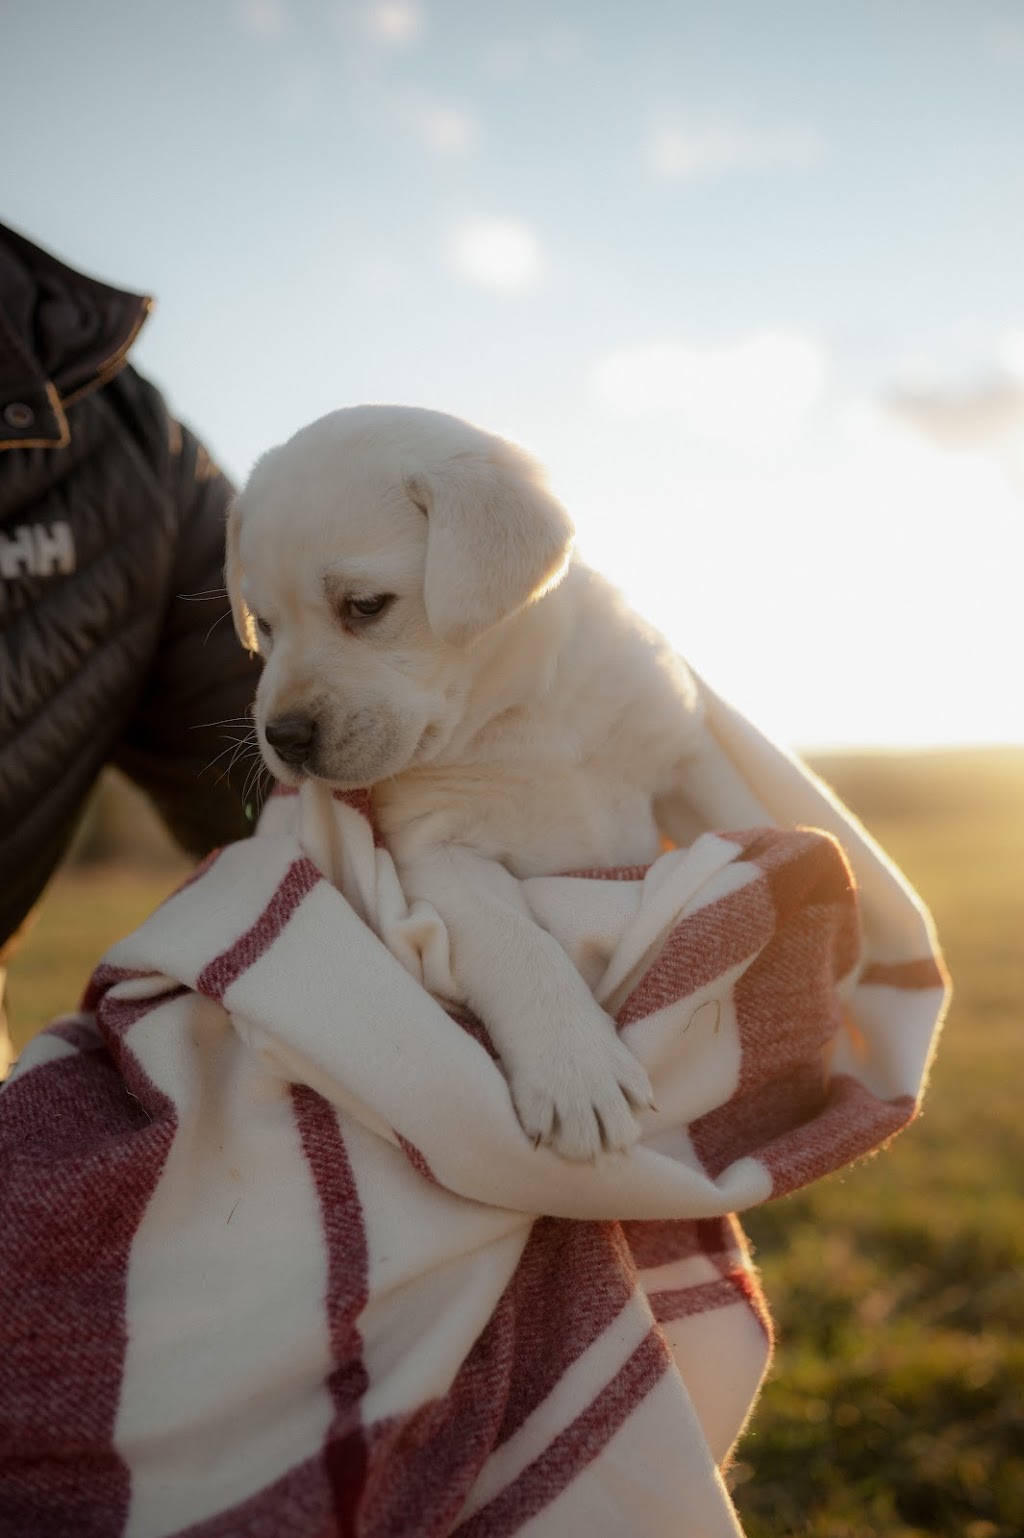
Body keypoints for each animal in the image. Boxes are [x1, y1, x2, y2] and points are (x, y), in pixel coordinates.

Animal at [226, 402, 750, 1156]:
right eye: (264, 626)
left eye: (366, 605)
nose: (285, 736)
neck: (518, 707)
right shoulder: (437, 855)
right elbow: (519, 944)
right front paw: (577, 1070)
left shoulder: (688, 755)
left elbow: (745, 818)